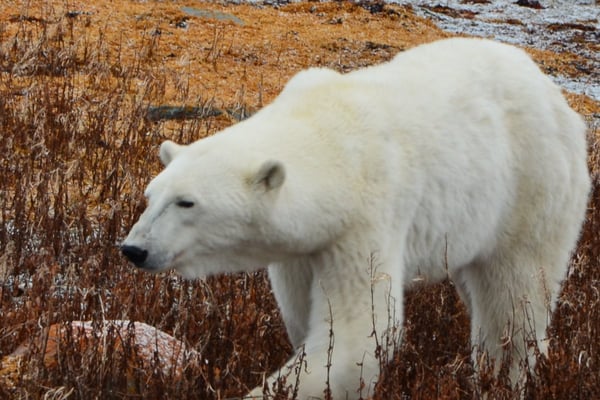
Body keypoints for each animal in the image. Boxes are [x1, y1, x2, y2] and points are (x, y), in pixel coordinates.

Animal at [122, 36, 592, 396]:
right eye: (150, 195)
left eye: (187, 202)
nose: (134, 249)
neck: (331, 133)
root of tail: (557, 98)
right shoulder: (301, 249)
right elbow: (304, 313)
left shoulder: (367, 215)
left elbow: (358, 332)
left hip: (530, 188)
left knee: (514, 300)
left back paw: (499, 378)